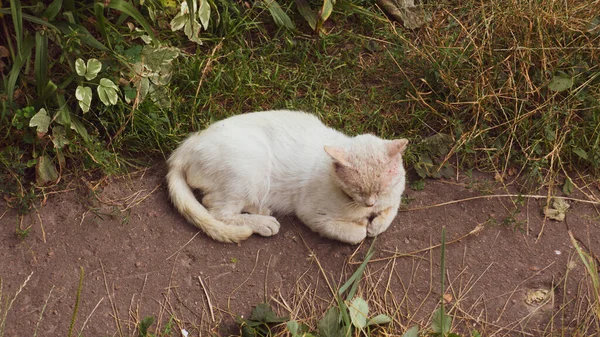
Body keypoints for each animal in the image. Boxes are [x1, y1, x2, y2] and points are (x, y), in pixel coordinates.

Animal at [168, 110, 408, 244]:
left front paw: (377, 225)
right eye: (357, 189)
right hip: (250, 167)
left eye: (380, 188)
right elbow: (355, 234)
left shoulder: (395, 194)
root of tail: (187, 144)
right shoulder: (313, 215)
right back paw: (263, 222)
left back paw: (261, 209)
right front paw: (363, 226)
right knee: (216, 210)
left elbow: (392, 210)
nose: (370, 203)